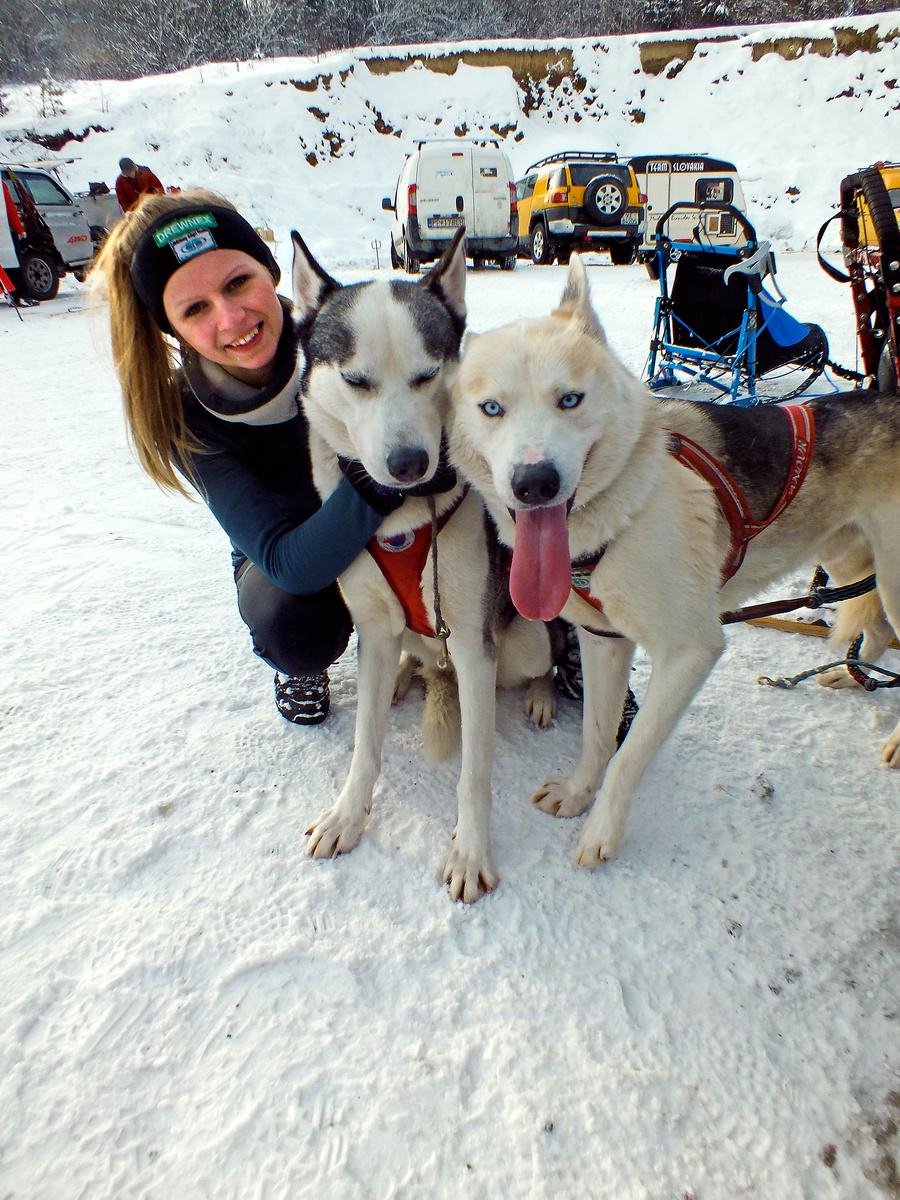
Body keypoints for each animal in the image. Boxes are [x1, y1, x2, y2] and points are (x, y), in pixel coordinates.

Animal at [292, 229, 556, 902]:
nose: (409, 462)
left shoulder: (470, 645)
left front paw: (470, 851)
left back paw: (543, 694)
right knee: (402, 659)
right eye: (356, 380)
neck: (399, 521)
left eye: (427, 374)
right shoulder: (372, 625)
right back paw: (405, 676)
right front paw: (347, 815)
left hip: (525, 641)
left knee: (540, 655)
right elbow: (365, 749)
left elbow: (475, 773)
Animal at [453, 258, 897, 868]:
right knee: (875, 629)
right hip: (847, 559)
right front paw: (578, 793)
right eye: (491, 408)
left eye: (570, 400)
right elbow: (597, 734)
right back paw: (848, 675)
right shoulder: (604, 641)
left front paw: (601, 832)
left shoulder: (690, 651)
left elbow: (627, 755)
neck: (626, 508)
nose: (534, 482)